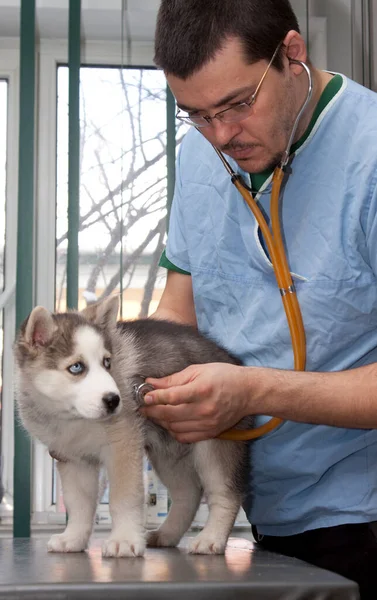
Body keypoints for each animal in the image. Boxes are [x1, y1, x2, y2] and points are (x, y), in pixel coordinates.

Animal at [14, 296, 251, 556]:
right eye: (76, 367)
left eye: (107, 363)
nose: (114, 400)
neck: (77, 418)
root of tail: (236, 365)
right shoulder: (74, 459)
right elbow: (79, 504)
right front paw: (73, 538)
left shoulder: (123, 447)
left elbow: (123, 497)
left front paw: (125, 540)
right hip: (168, 454)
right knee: (188, 494)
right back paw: (167, 534)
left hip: (214, 444)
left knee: (225, 494)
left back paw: (211, 538)